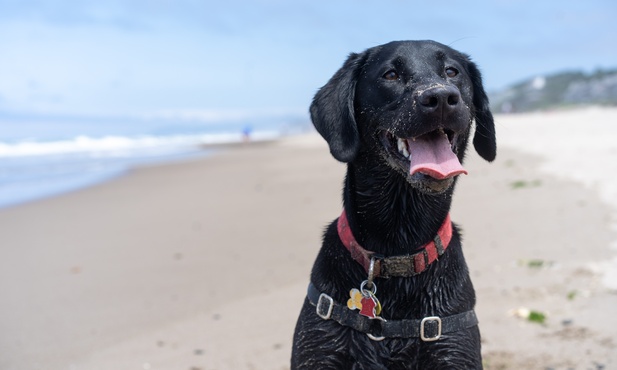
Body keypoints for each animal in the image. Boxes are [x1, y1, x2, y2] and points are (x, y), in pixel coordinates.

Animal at [290, 39, 496, 368]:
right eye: (390, 74)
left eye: (452, 71)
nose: (440, 97)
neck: (398, 242)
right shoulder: (320, 346)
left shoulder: (452, 348)